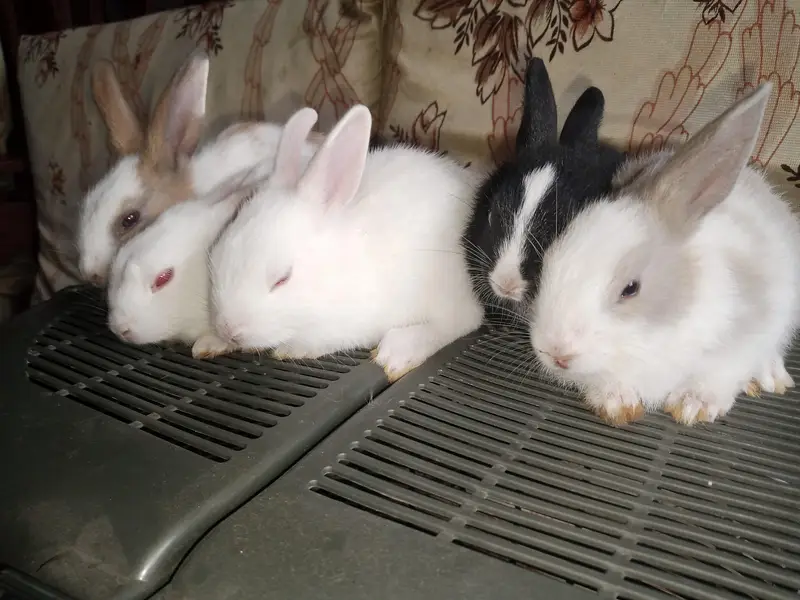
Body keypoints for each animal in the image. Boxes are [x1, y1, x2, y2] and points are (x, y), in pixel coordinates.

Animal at [204, 104, 485, 382]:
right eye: (216, 254)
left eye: (282, 279)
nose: (228, 329)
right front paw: (211, 342)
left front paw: (293, 349)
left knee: (462, 321)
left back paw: (398, 351)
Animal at [528, 82, 800, 427]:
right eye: (547, 263)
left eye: (631, 289)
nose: (556, 352)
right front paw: (617, 403)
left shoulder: (749, 327)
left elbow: (721, 372)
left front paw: (692, 406)